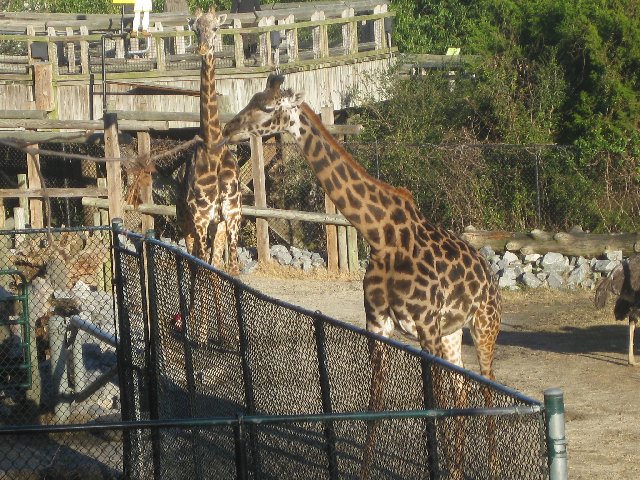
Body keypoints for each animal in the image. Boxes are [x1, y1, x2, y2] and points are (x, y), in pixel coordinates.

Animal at [222, 74, 502, 477]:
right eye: (253, 97)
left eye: (268, 106)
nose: (229, 129)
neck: (380, 234)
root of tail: (490, 276)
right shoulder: (378, 324)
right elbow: (376, 404)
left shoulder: (426, 327)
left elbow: (434, 408)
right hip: (452, 332)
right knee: (462, 391)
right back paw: (458, 469)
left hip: (483, 325)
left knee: (488, 386)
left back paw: (492, 465)